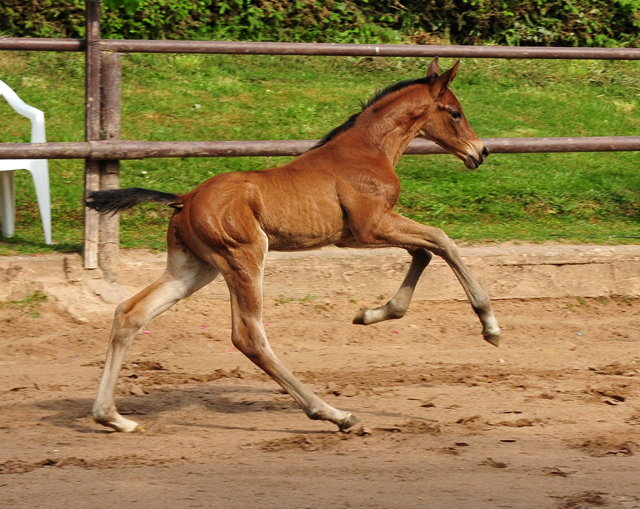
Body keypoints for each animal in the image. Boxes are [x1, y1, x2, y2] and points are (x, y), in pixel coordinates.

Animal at [87, 59, 500, 432]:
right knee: (249, 336)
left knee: (130, 314)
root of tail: (185, 199)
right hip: (244, 258)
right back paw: (334, 414)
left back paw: (113, 418)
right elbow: (442, 241)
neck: (367, 150)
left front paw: (371, 314)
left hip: (192, 269)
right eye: (456, 113)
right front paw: (489, 325)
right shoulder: (372, 227)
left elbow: (424, 251)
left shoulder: (358, 236)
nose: (480, 152)